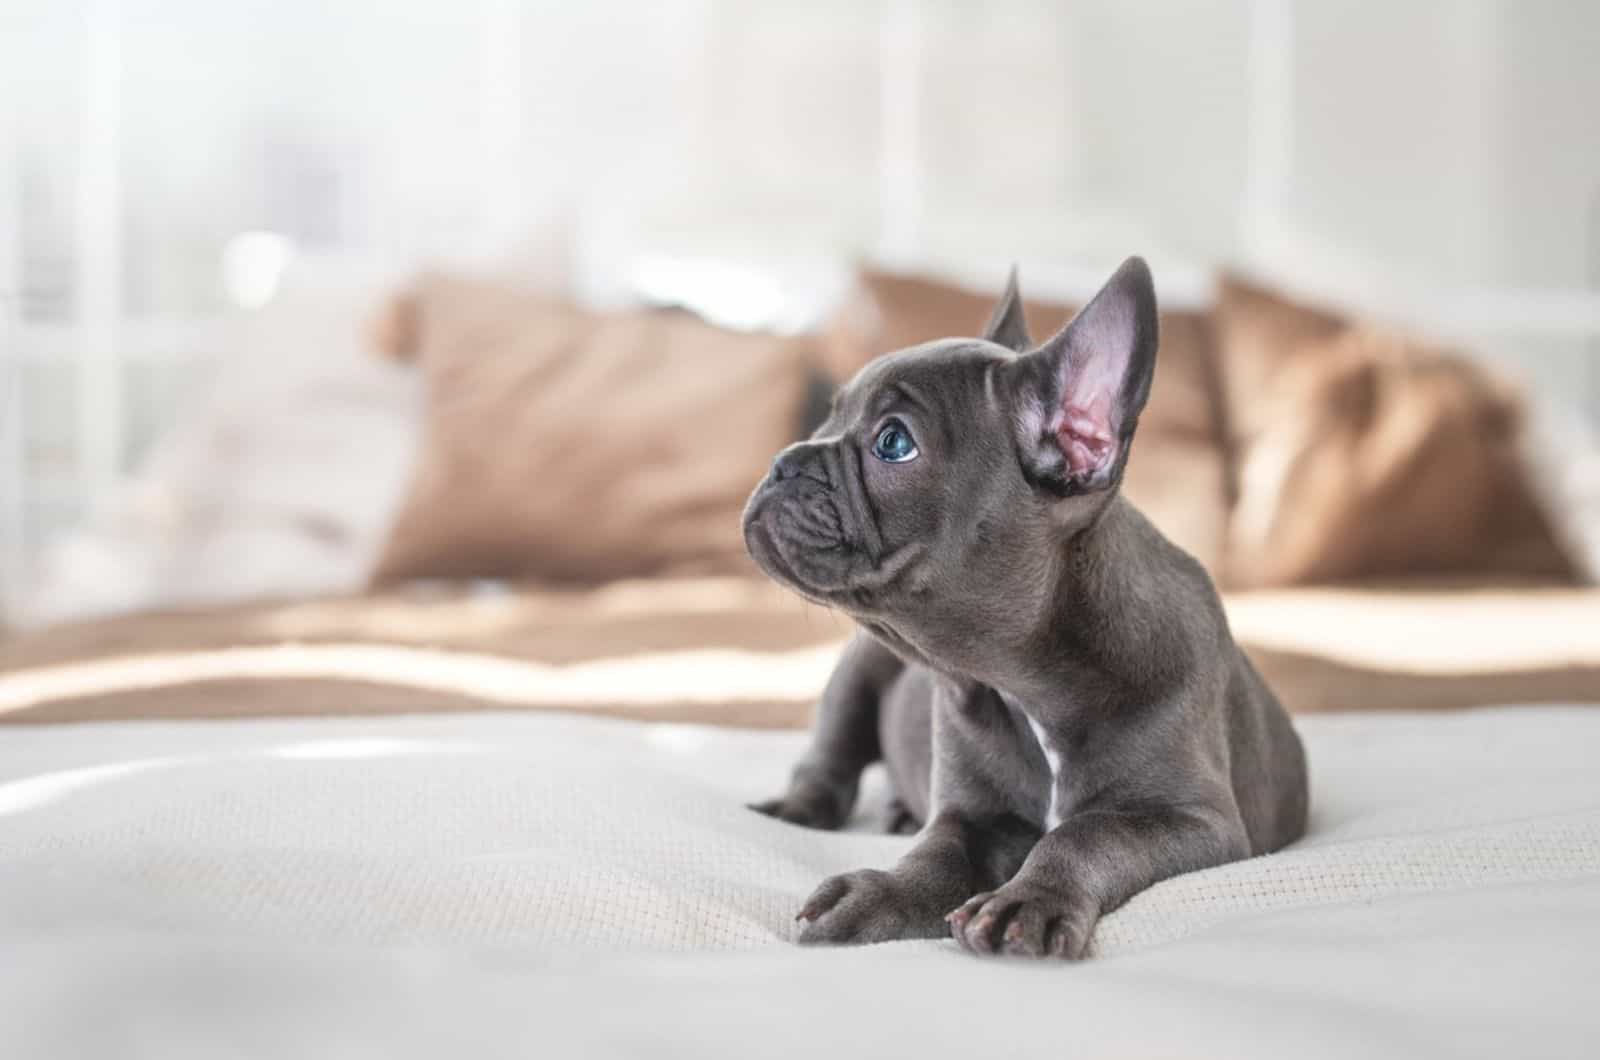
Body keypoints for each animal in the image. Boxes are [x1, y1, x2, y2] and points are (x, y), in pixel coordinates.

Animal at [742, 257, 1305, 960]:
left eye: (893, 443)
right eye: (826, 418)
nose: (782, 462)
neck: (1023, 682)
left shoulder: (1196, 821)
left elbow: (1088, 833)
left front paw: (1027, 900)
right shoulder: (969, 813)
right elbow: (938, 853)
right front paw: (881, 895)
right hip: (855, 675)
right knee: (829, 761)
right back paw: (806, 806)